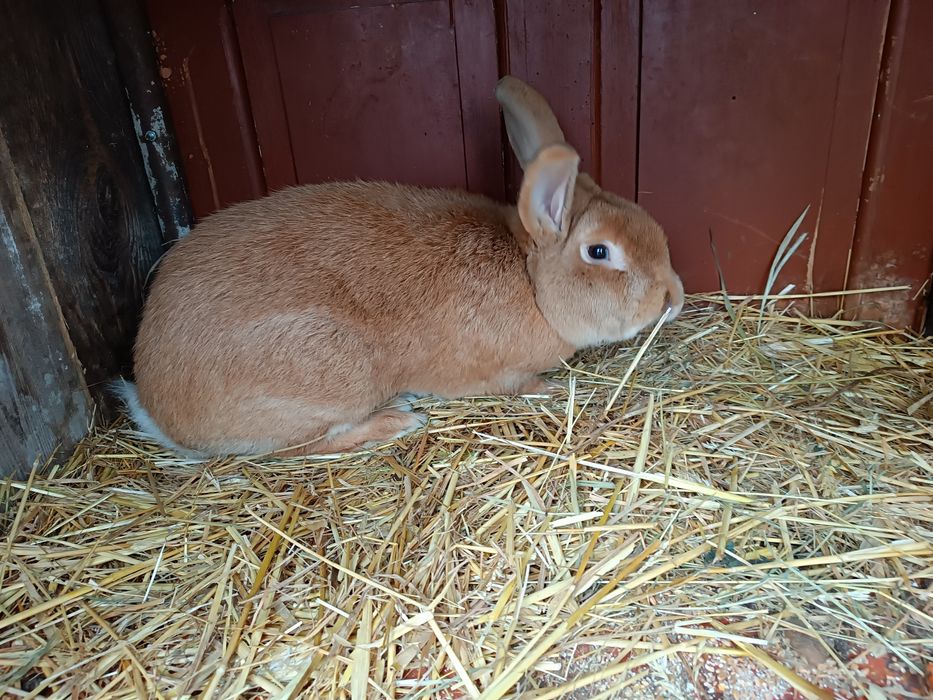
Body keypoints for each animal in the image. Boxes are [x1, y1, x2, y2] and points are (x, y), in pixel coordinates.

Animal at [116, 75, 684, 460]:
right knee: (301, 447)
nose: (672, 298)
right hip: (332, 375)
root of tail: (156, 404)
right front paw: (550, 390)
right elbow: (517, 384)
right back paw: (398, 420)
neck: (530, 280)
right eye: (600, 252)